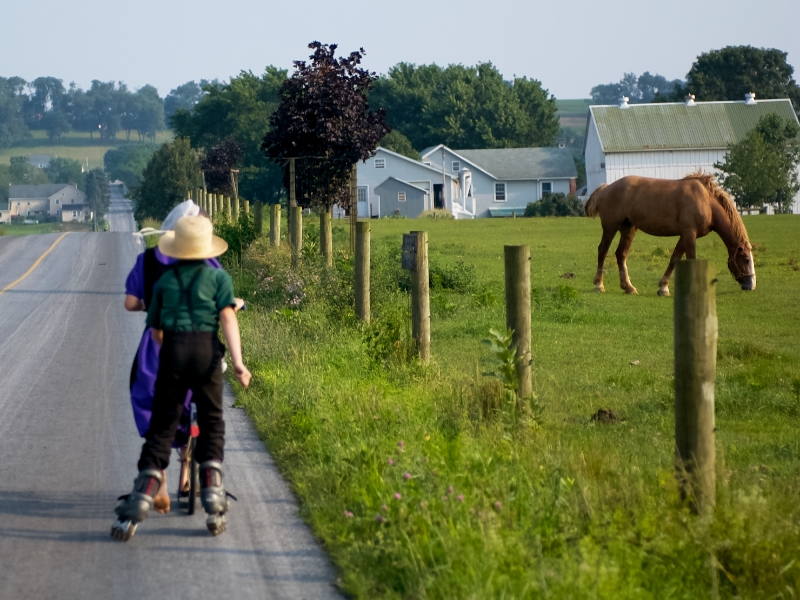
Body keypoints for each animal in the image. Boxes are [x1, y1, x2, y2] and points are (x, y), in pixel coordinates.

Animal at [584, 172, 752, 296]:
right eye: (745, 259)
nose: (751, 285)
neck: (706, 202)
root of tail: (606, 188)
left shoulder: (685, 235)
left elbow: (674, 258)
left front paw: (663, 287)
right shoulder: (689, 234)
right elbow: (690, 258)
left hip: (628, 228)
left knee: (621, 254)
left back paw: (629, 287)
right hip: (610, 227)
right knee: (603, 250)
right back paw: (599, 285)